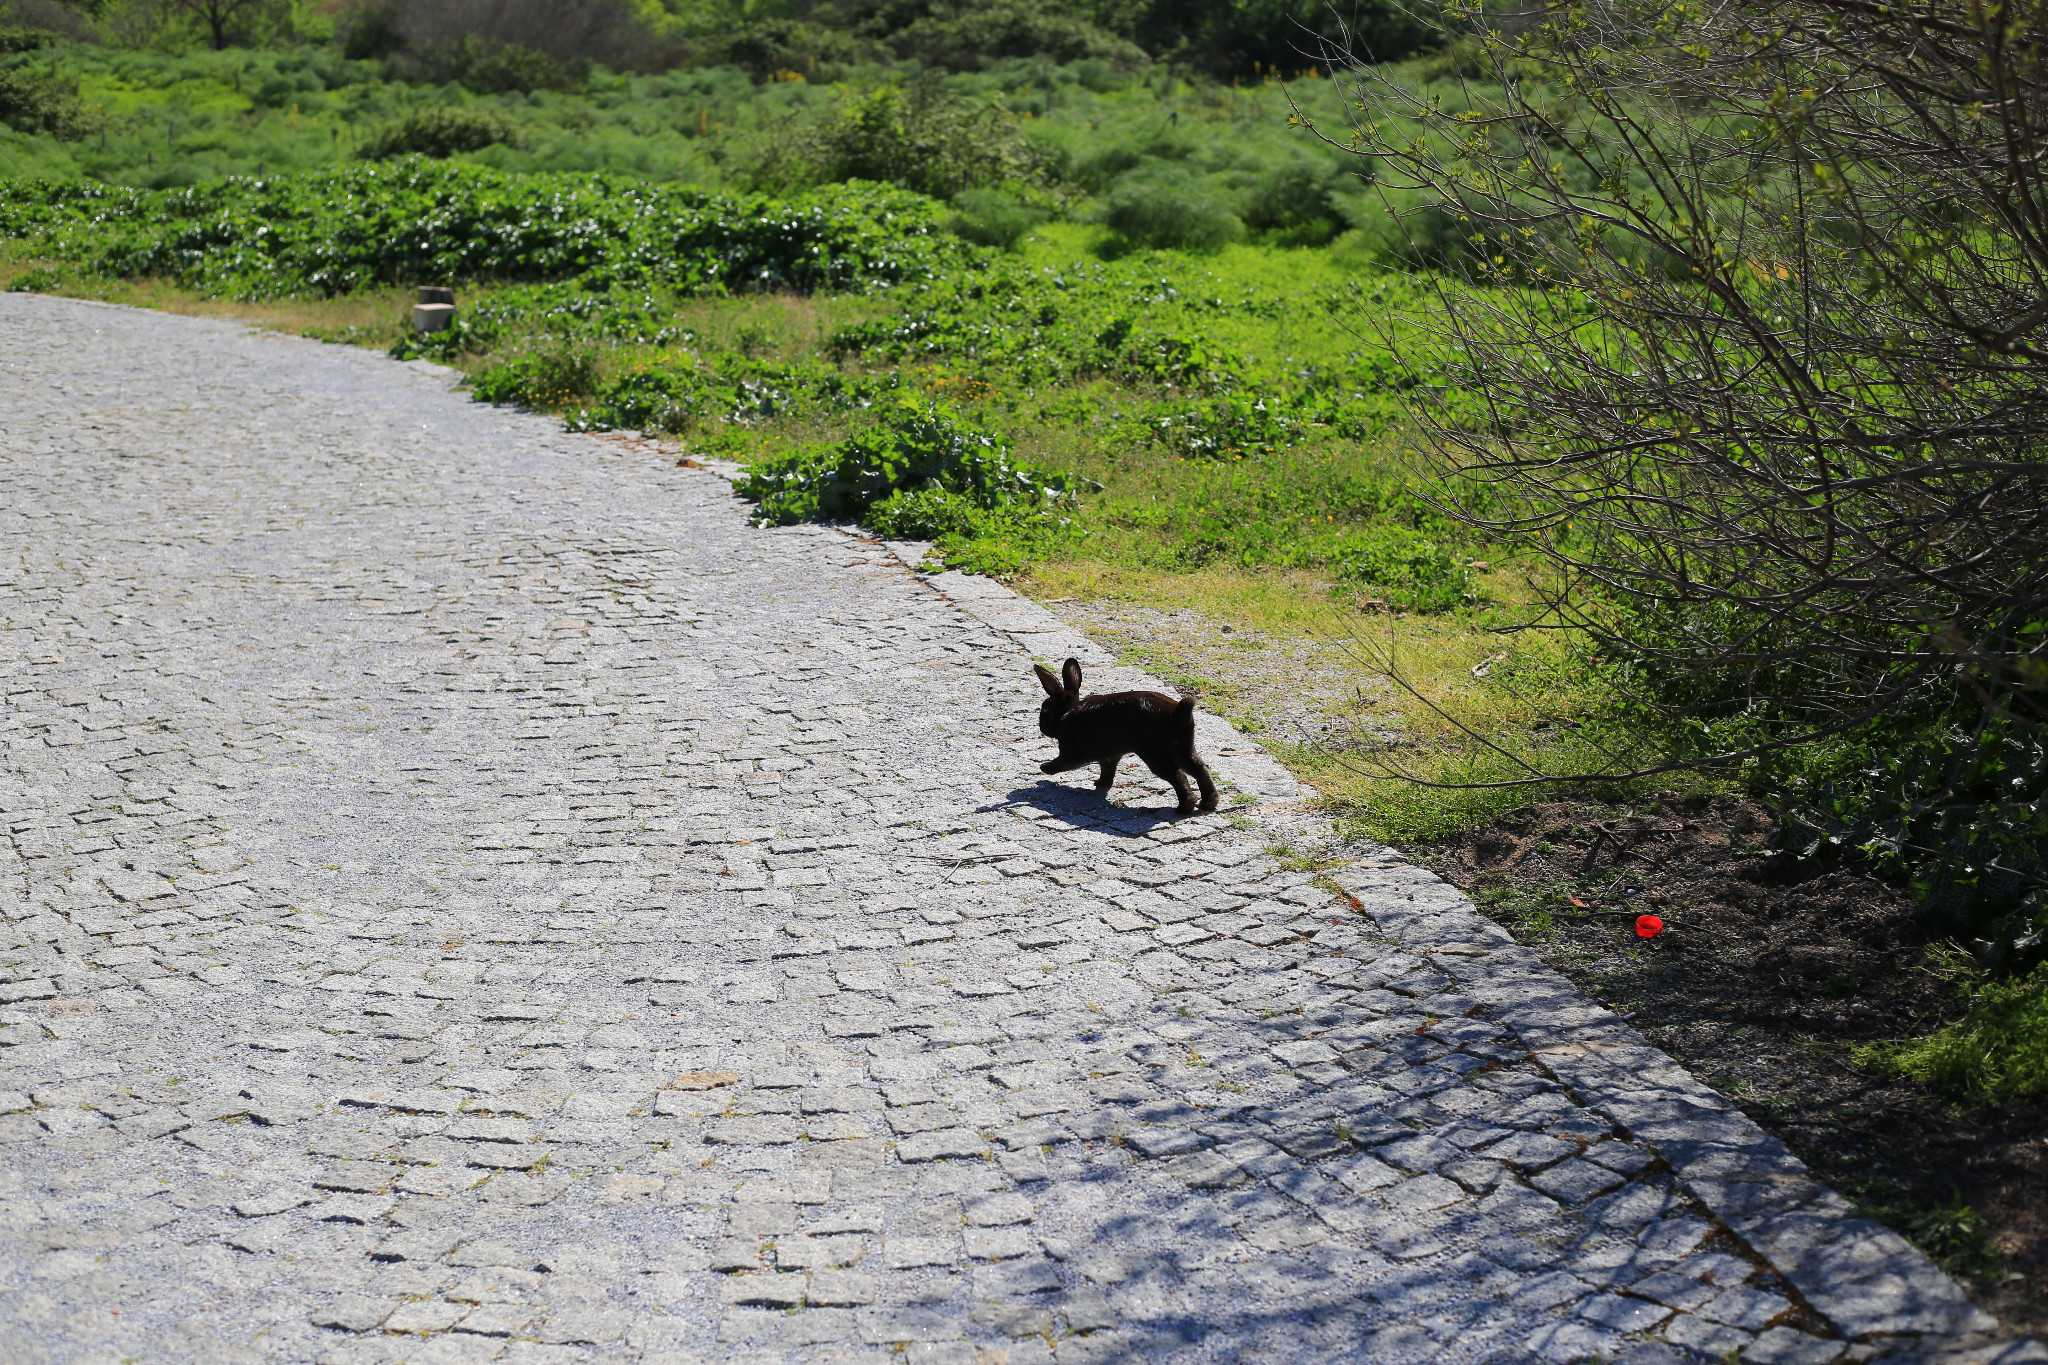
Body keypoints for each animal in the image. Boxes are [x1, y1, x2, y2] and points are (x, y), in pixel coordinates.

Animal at [1040, 658, 1212, 818]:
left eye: (1045, 709)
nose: (1041, 727)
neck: (1065, 712)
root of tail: (1176, 714)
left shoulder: (1071, 753)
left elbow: (1061, 763)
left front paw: (1044, 768)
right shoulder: (1109, 756)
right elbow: (1107, 770)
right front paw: (1101, 784)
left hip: (1154, 754)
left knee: (1178, 775)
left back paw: (1184, 808)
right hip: (1183, 748)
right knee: (1199, 768)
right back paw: (1208, 802)